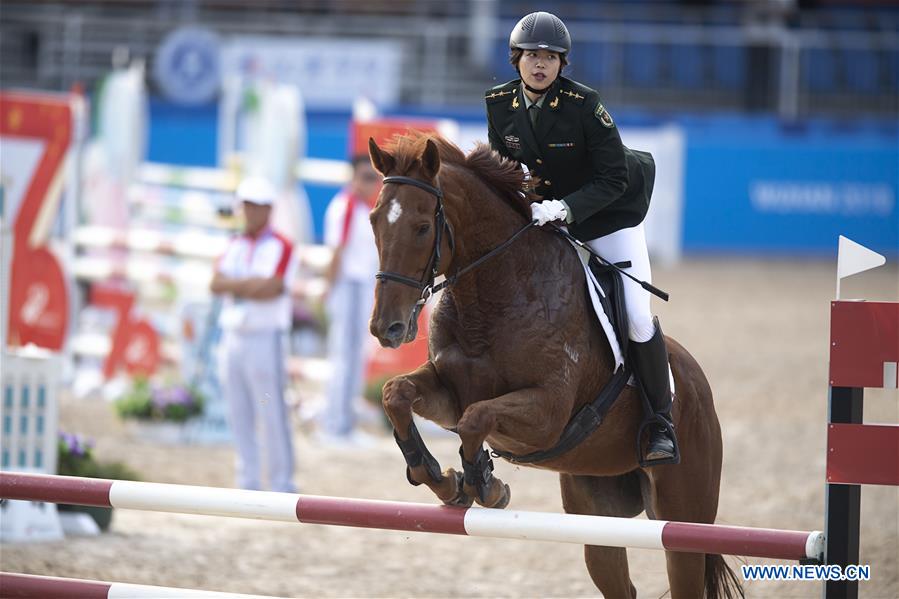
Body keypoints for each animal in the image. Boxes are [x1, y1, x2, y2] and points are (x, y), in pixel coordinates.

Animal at [366, 135, 740, 599]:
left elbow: (476, 419)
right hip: (597, 515)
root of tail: (698, 385)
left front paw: (485, 485)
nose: (387, 328)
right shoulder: (448, 393)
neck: (492, 293)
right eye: (374, 221)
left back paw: (660, 439)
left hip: (684, 519)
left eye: (421, 227)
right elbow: (396, 394)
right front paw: (443, 478)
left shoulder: (548, 413)